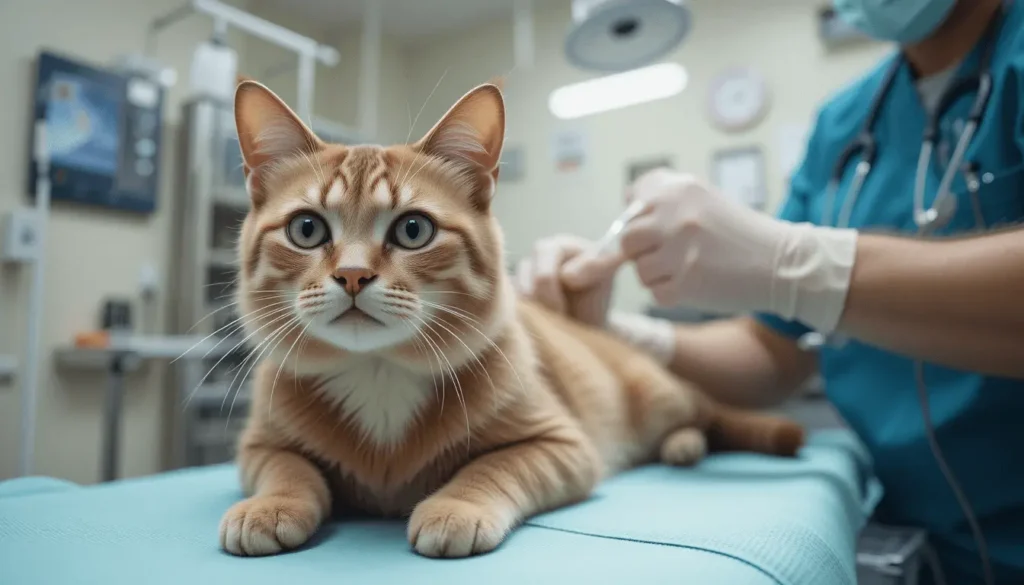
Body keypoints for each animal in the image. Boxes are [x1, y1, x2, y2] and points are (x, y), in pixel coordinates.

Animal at [220, 79, 802, 561]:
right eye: (306, 229)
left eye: (413, 229)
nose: (353, 274)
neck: (378, 372)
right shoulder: (257, 446)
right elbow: (287, 467)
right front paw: (269, 504)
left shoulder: (561, 445)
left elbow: (491, 465)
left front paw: (457, 505)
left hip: (660, 393)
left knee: (707, 415)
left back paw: (691, 442)